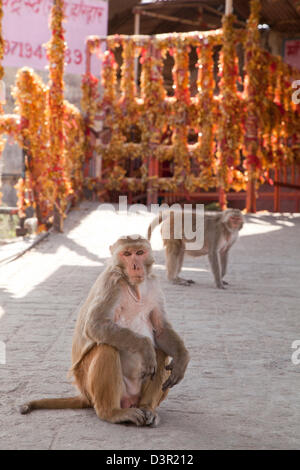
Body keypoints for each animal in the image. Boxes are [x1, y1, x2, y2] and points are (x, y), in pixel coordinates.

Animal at [20, 234, 190, 426]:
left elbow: (161, 330)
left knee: (160, 352)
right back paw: (112, 412)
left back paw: (147, 408)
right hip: (88, 385)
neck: (134, 285)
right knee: (107, 348)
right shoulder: (111, 284)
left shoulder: (154, 284)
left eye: (139, 252)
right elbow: (95, 325)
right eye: (127, 254)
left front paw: (182, 358)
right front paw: (144, 346)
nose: (135, 266)